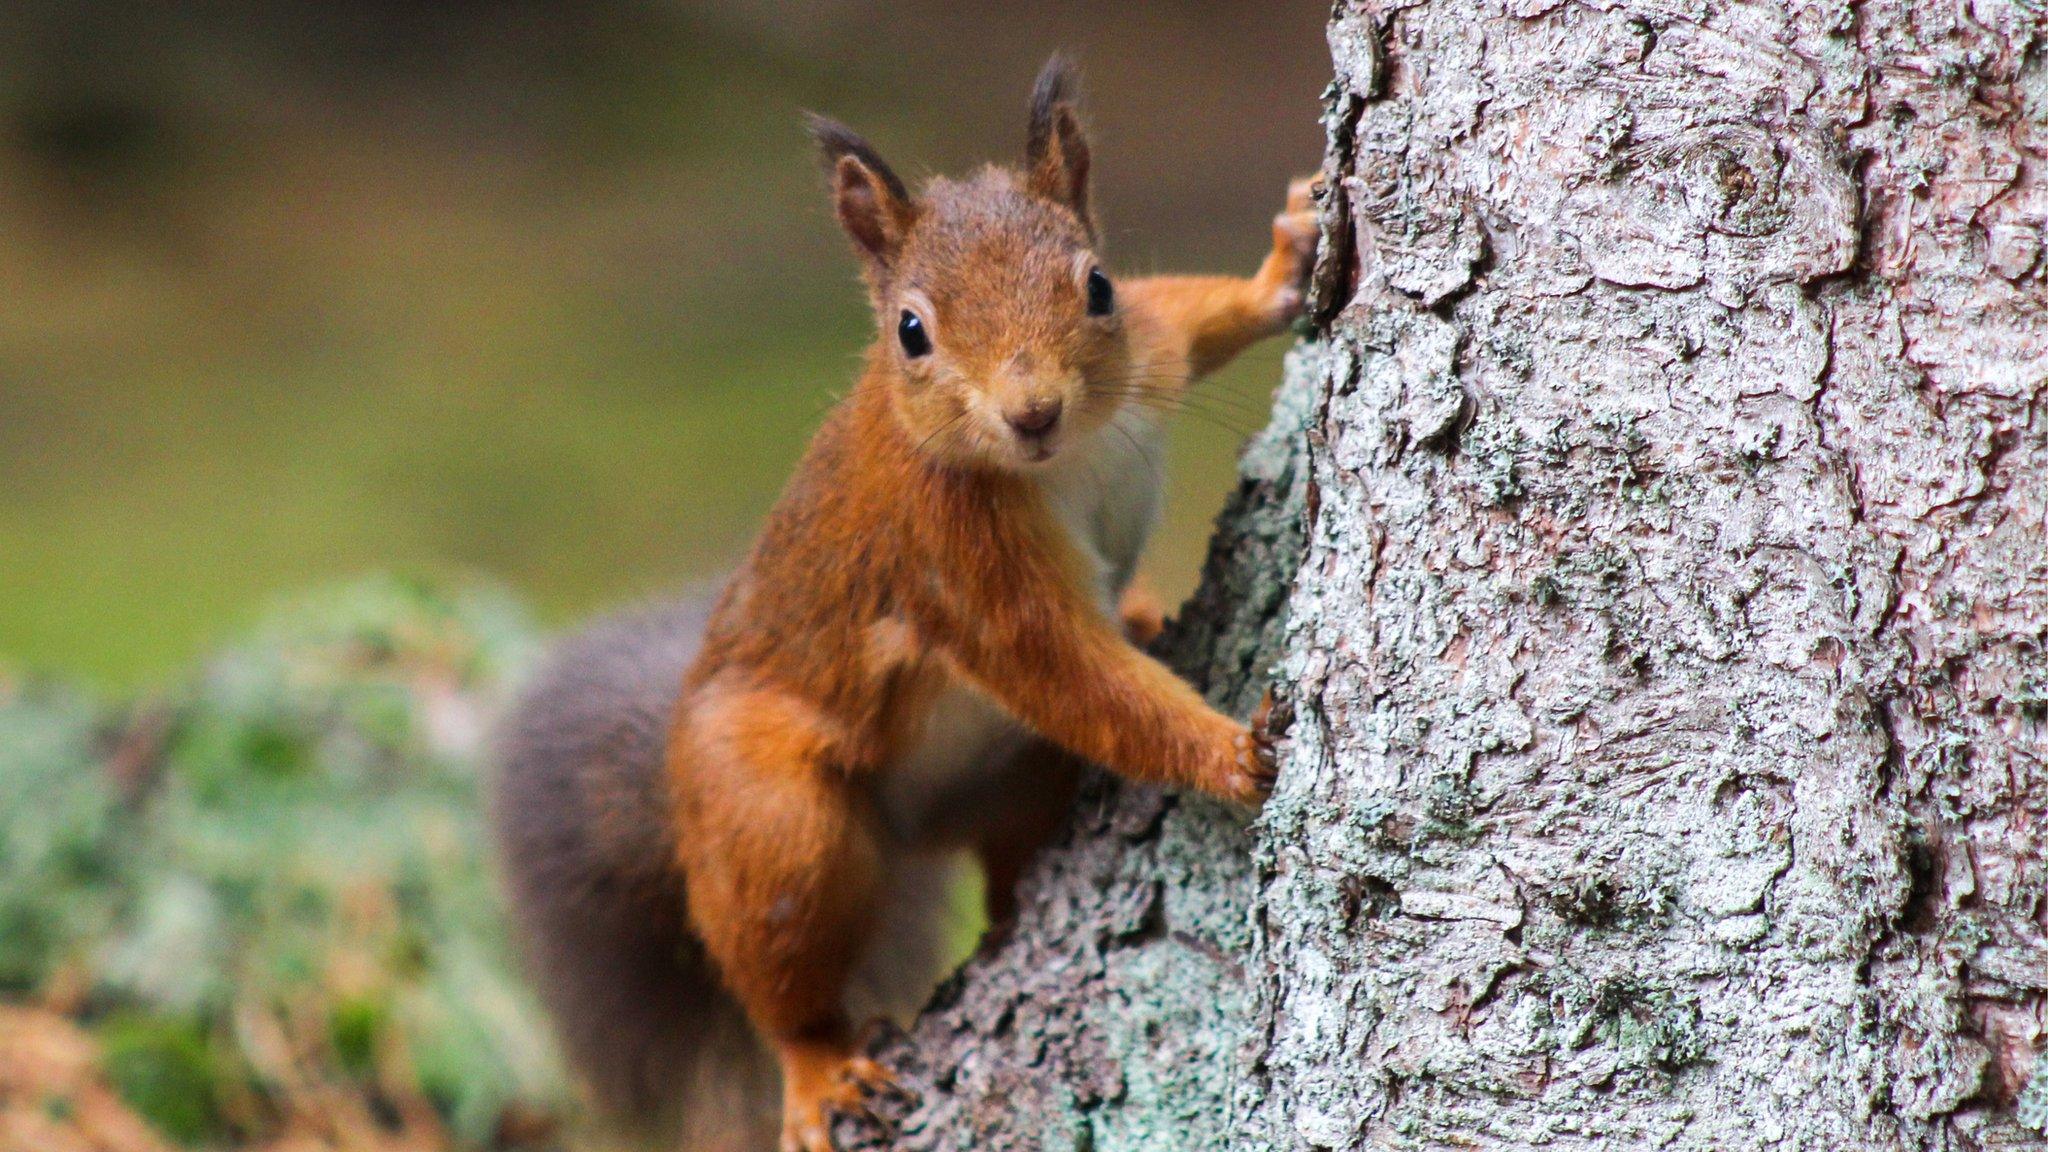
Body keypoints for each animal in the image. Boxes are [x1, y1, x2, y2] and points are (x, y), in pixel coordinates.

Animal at [497, 58, 1318, 1147]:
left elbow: (1188, 309)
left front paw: (1285, 265)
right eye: (911, 333)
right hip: (773, 821)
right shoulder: (957, 561)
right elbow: (1073, 676)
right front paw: (1233, 752)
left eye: (1094, 285)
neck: (1066, 459)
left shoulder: (1149, 347)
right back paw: (817, 1070)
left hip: (1016, 781)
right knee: (780, 966)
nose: (1032, 412)